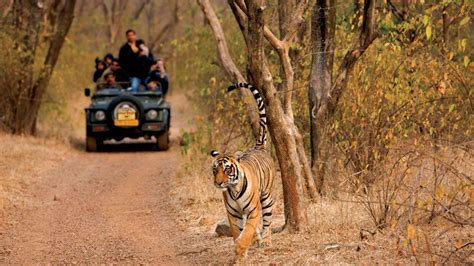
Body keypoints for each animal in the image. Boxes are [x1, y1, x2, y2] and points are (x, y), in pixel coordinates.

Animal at [210, 82, 276, 262]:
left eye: (227, 168)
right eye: (215, 169)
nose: (218, 183)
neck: (234, 189)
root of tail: (258, 147)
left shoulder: (254, 210)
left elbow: (246, 232)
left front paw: (241, 248)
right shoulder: (233, 214)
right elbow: (236, 232)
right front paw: (240, 254)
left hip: (266, 197)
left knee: (267, 220)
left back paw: (266, 241)